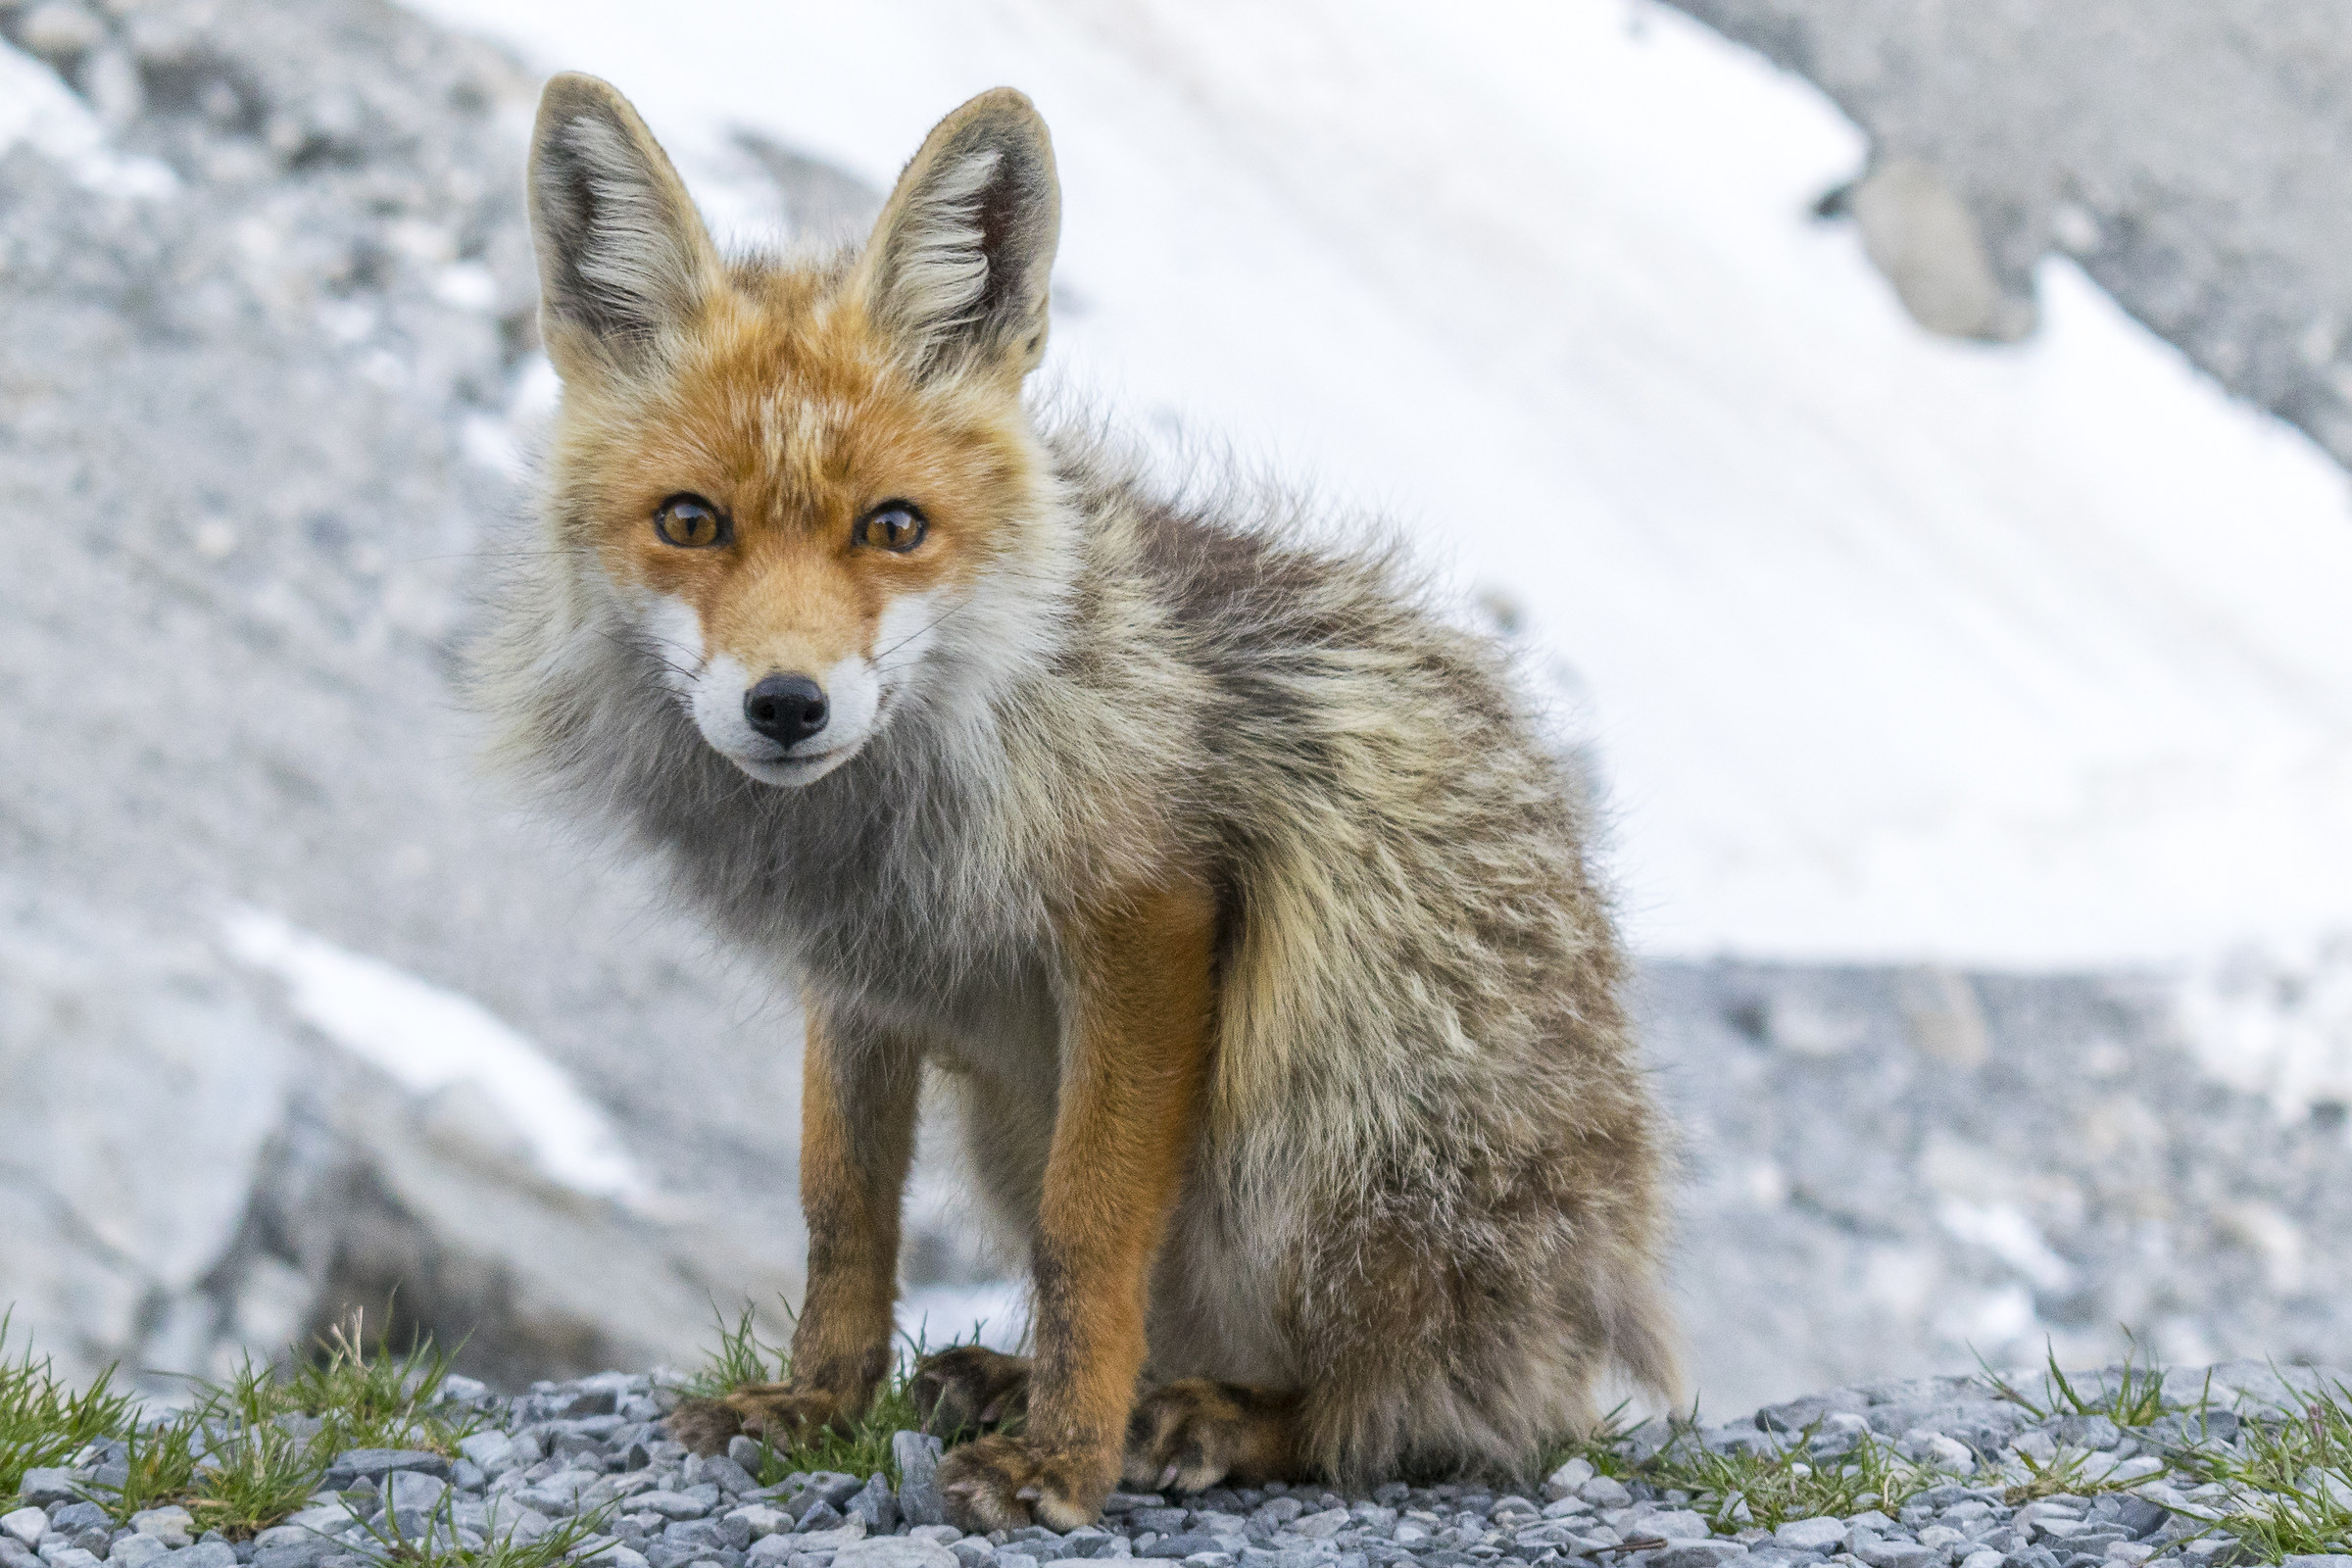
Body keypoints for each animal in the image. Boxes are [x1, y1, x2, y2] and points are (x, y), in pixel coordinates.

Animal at [474, 73, 1679, 1528]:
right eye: (691, 521)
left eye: (894, 527)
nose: (787, 706)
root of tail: (1586, 1311)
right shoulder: (863, 968)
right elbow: (842, 1208)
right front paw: (818, 1401)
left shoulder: (1150, 918)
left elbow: (1088, 1229)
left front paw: (1066, 1460)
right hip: (1014, 1108)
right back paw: (1013, 1379)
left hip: (1310, 1096)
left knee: (1397, 1412)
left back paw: (1209, 1418)